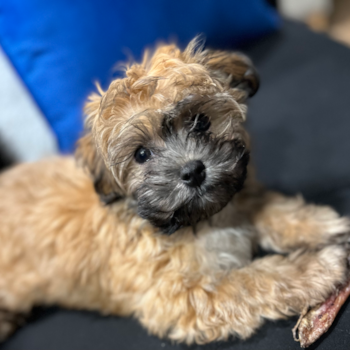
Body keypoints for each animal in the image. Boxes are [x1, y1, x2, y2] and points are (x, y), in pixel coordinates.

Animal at [0, 38, 350, 344]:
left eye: (201, 121)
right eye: (141, 154)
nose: (193, 171)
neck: (195, 221)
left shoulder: (237, 197)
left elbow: (271, 209)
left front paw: (319, 223)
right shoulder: (179, 297)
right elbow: (251, 281)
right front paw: (315, 269)